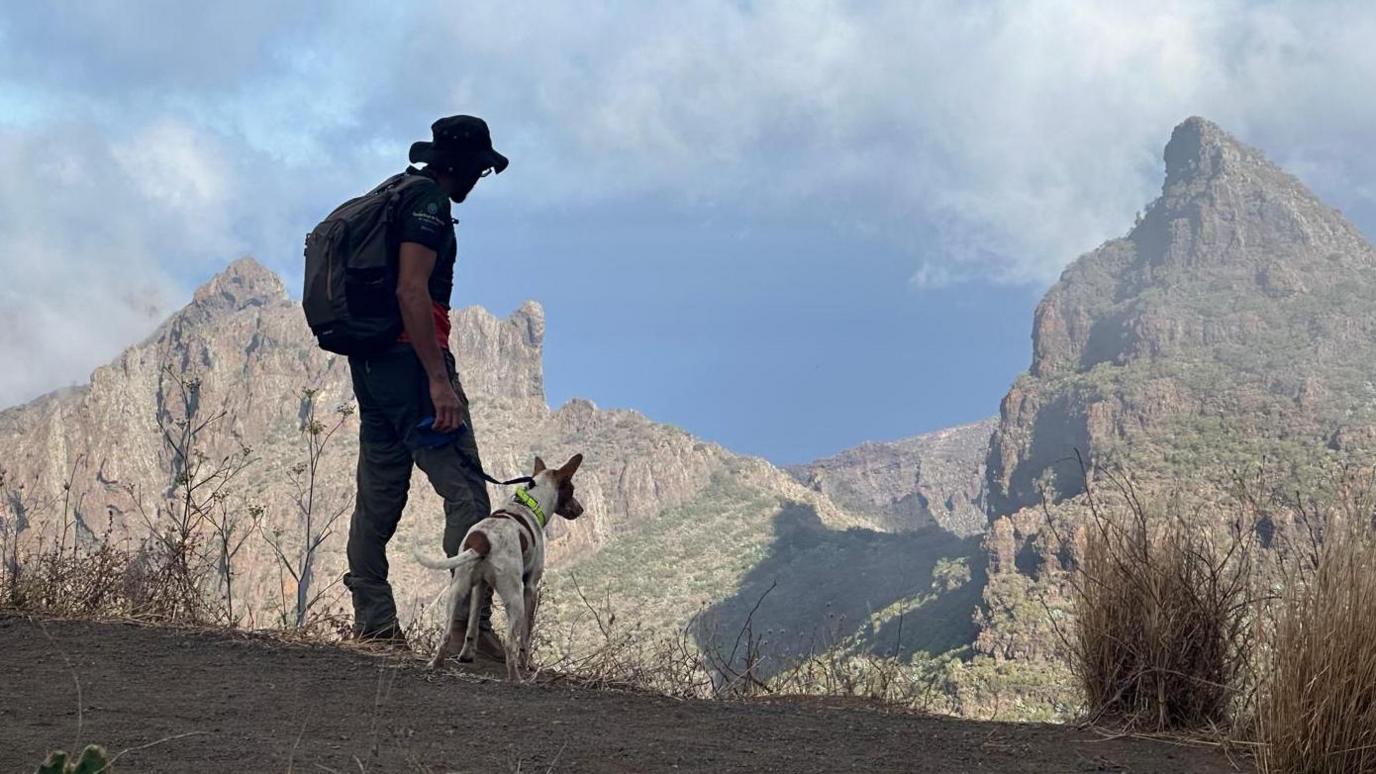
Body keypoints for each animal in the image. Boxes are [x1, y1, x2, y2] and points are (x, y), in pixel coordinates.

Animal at [407, 448, 580, 677]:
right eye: (572, 489)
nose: (581, 509)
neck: (529, 503)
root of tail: (482, 541)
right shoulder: (531, 587)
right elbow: (526, 636)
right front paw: (529, 665)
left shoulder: (480, 586)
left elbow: (472, 626)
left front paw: (467, 655)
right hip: (514, 598)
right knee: (510, 644)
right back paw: (516, 677)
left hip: (457, 590)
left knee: (446, 635)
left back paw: (435, 664)